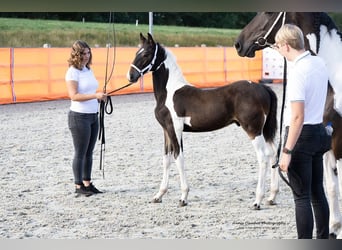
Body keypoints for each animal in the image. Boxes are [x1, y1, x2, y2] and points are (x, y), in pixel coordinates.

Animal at [127, 33, 280, 209]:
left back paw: (257, 201)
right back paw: (272, 197)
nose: (130, 76)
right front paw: (159, 195)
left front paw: (183, 198)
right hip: (264, 130)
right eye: (136, 52)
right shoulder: (166, 130)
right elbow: (166, 159)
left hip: (253, 129)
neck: (169, 92)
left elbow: (178, 158)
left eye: (146, 54)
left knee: (263, 157)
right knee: (274, 153)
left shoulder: (175, 129)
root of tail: (263, 88)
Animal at [235, 11, 342, 238]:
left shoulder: (339, 146)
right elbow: (331, 188)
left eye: (268, 12)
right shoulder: (327, 148)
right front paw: (334, 228)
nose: (239, 44)